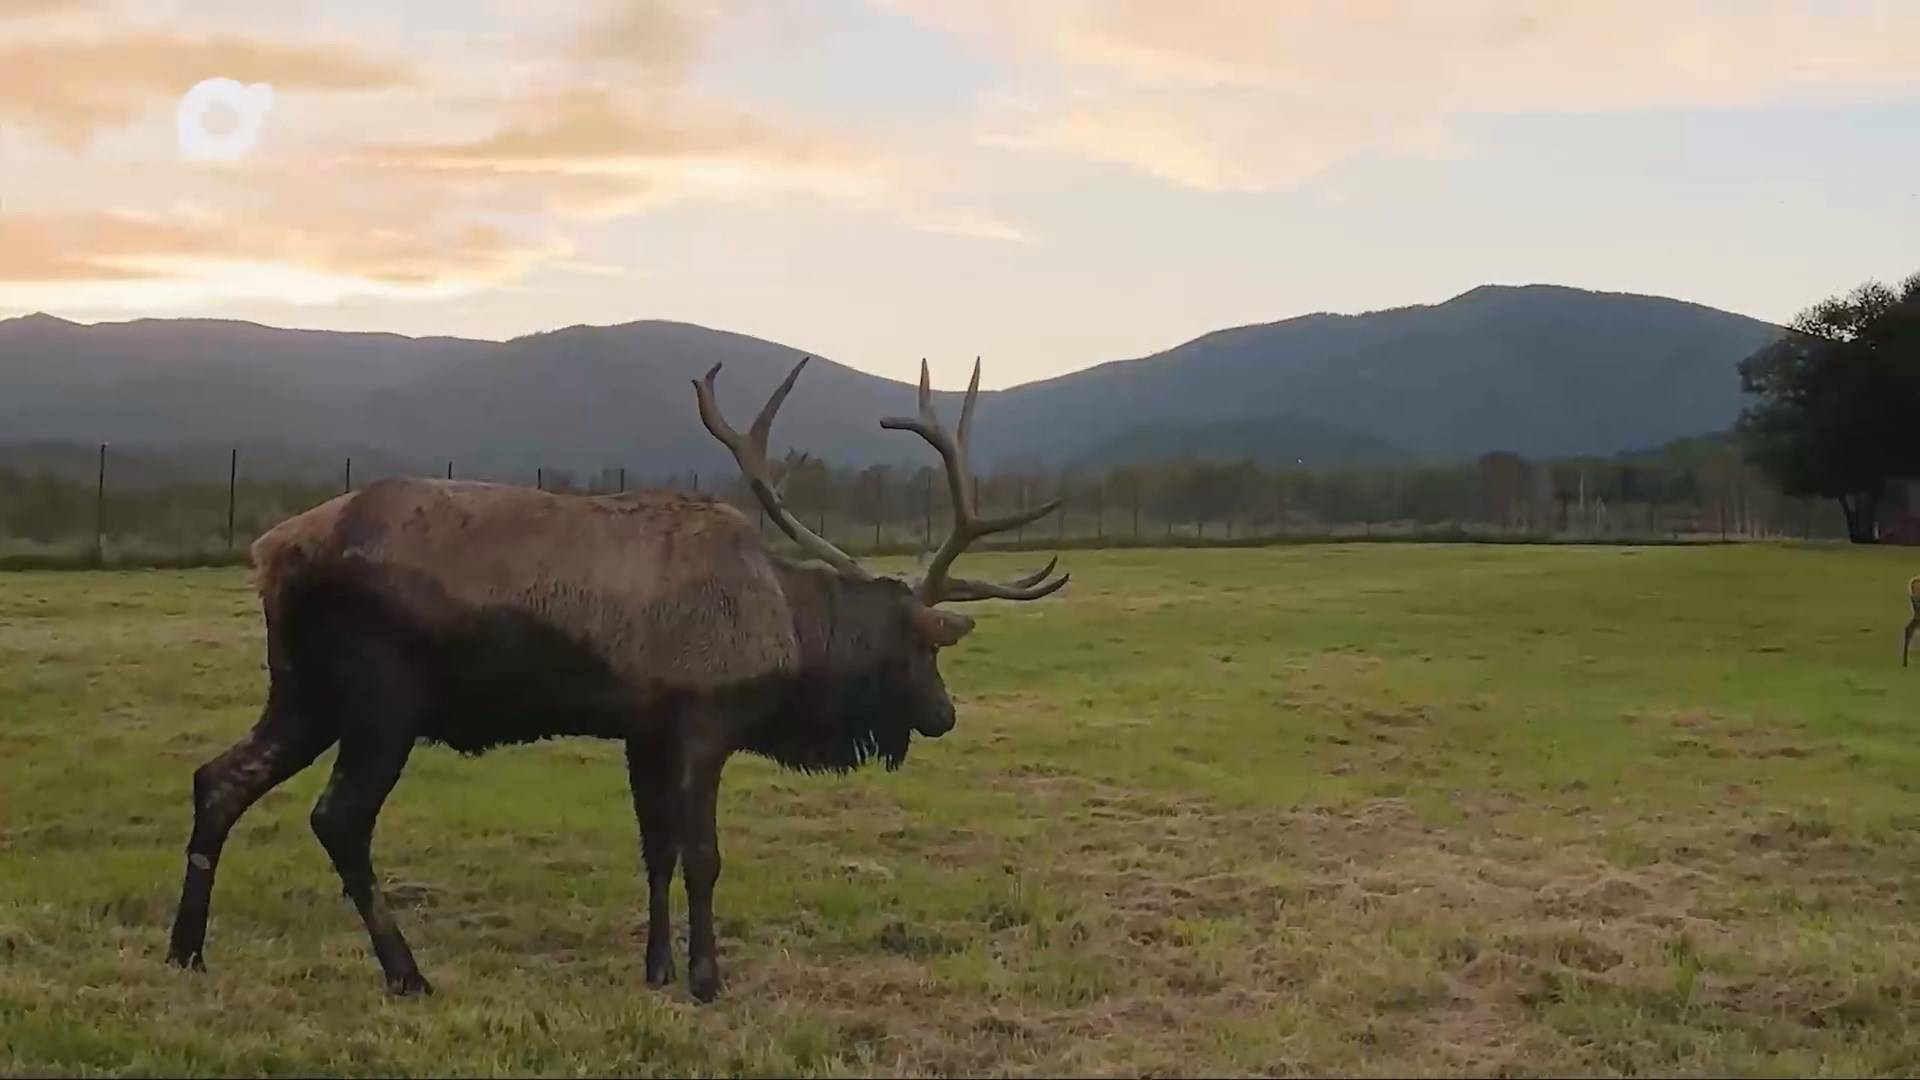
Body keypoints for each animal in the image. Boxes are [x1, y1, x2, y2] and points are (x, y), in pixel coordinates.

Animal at [165, 355, 1067, 999]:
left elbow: (655, 851)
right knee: (338, 819)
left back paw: (186, 951)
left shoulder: (645, 731)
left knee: (219, 778)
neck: (788, 629)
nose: (946, 714)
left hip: (303, 692)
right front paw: (706, 979)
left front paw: (657, 968)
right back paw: (406, 973)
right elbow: (702, 855)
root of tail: (269, 554)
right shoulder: (704, 722)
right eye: (921, 649)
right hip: (383, 699)